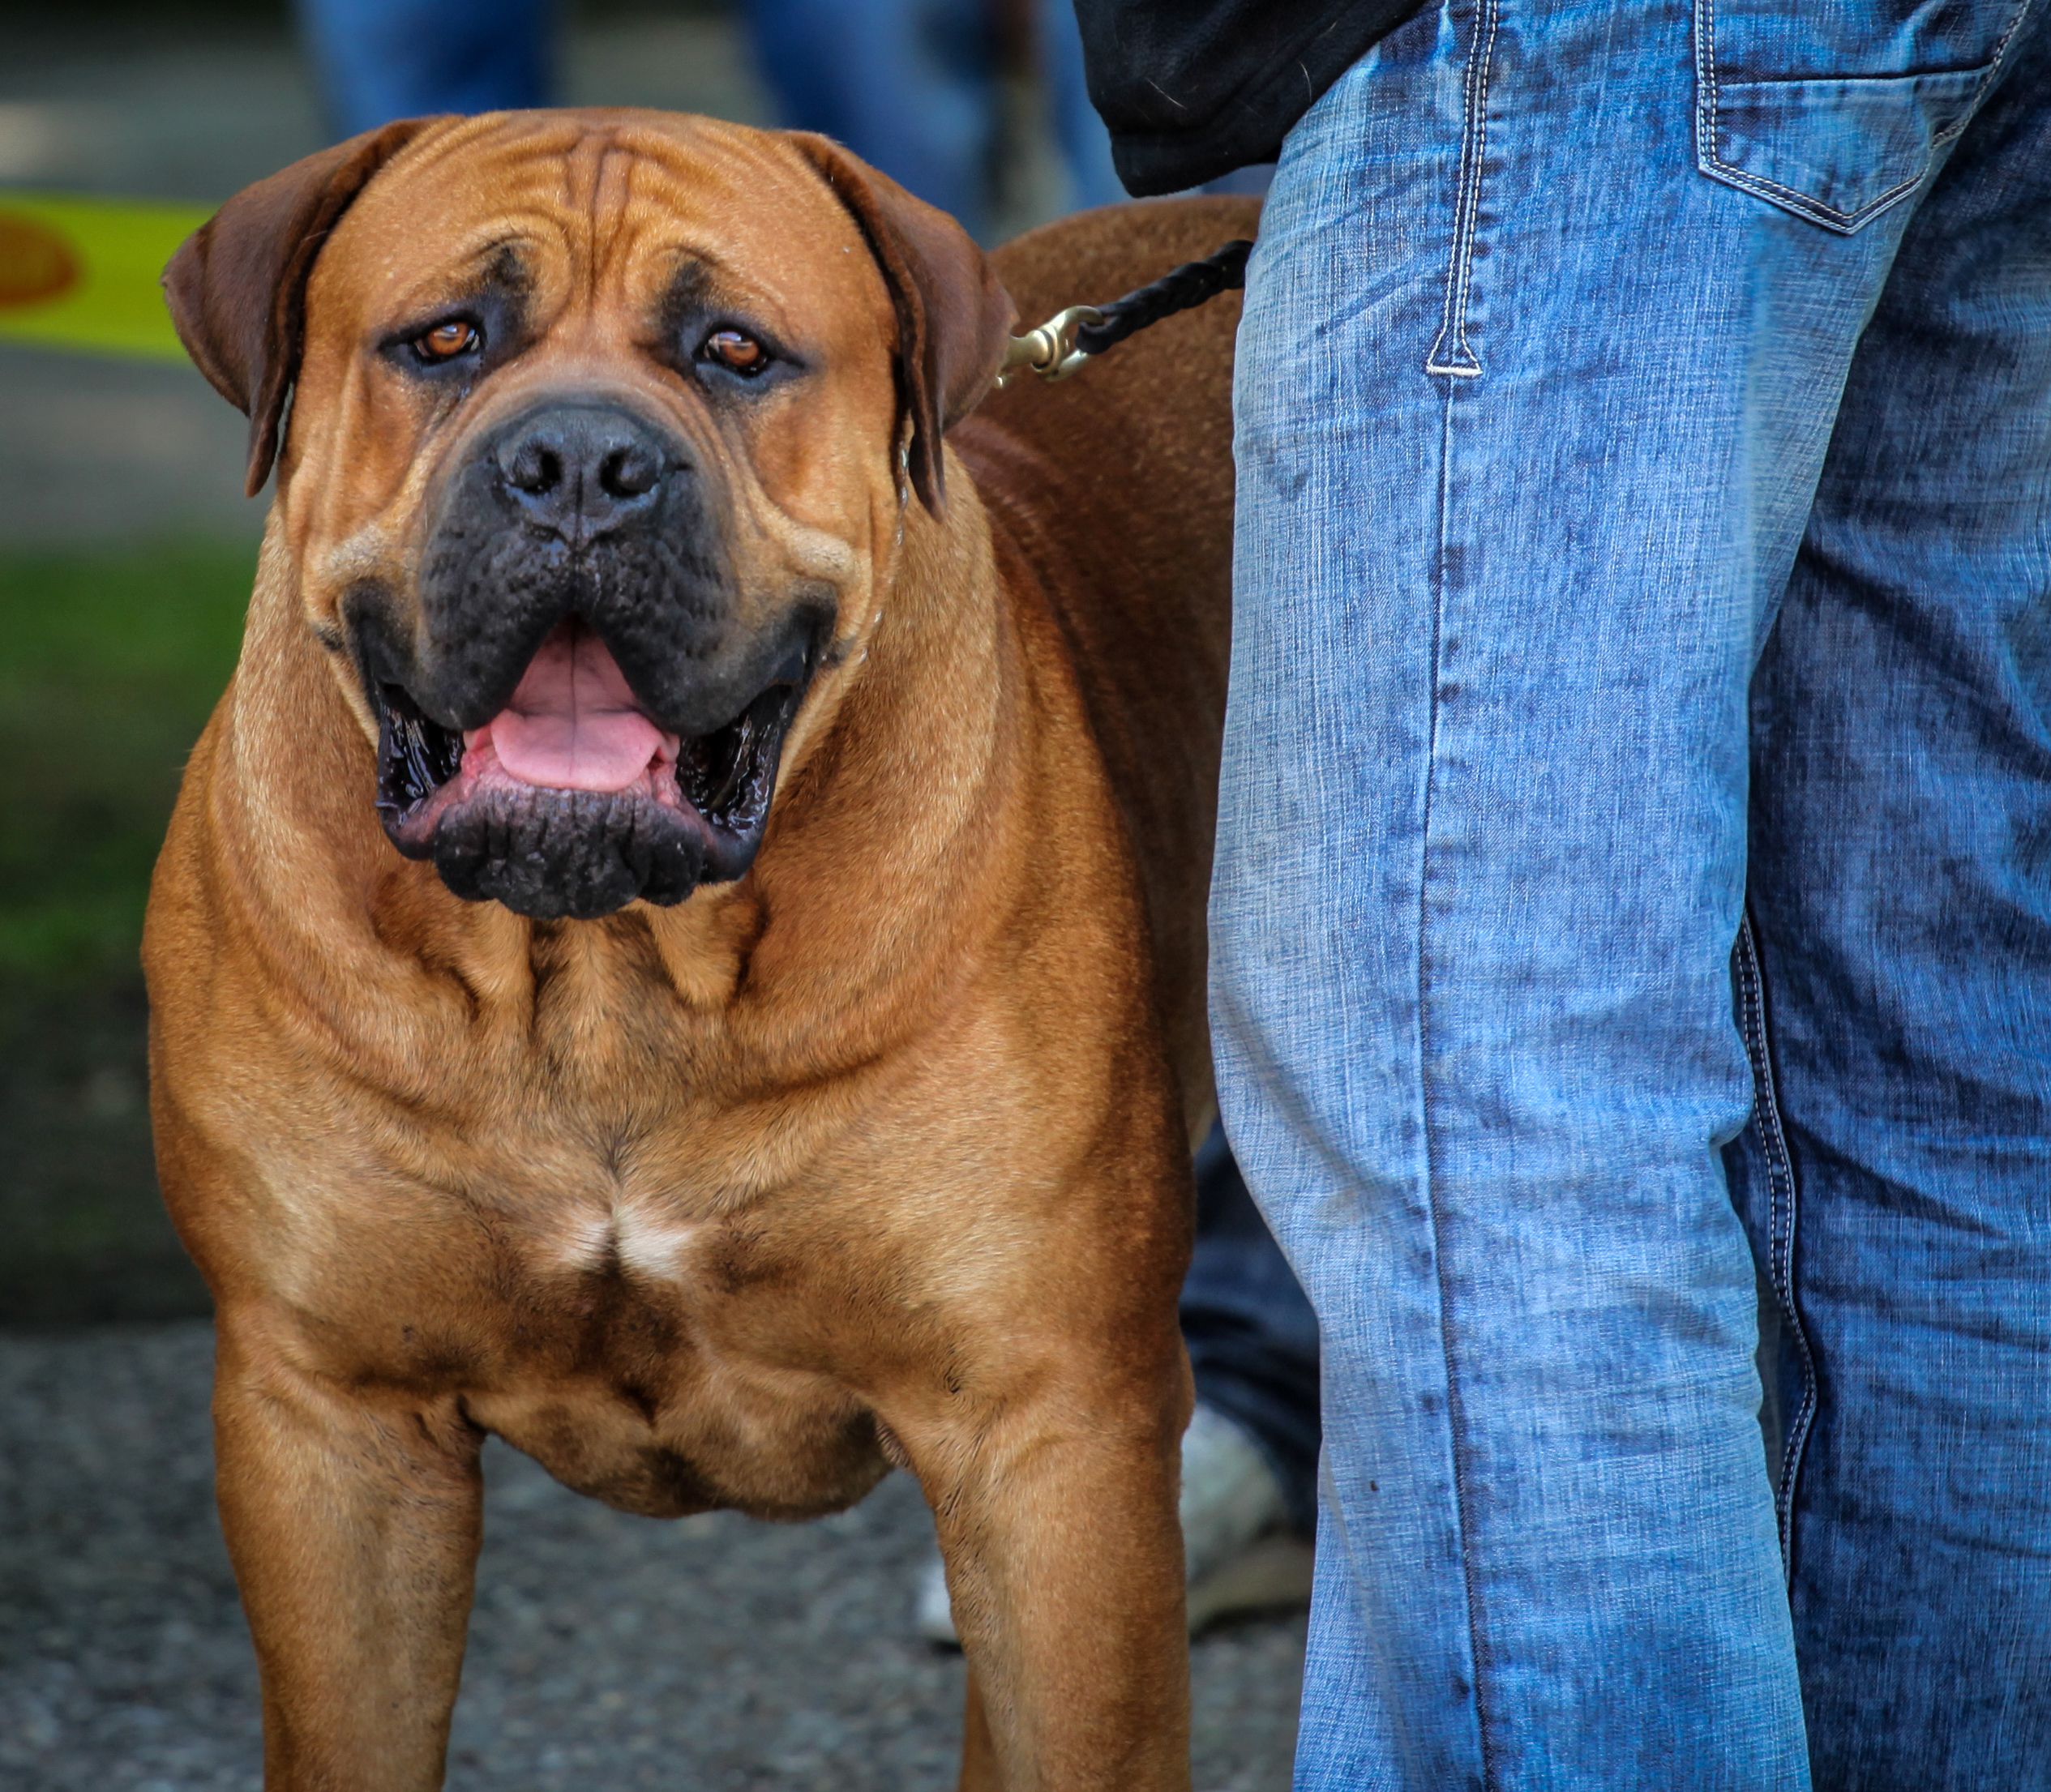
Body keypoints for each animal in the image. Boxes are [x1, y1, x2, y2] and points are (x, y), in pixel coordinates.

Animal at [148, 115, 1247, 1787]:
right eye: (444, 339)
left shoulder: (1052, 1433)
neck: (606, 972)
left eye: (736, 351)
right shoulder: (329, 1429)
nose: (579, 468)